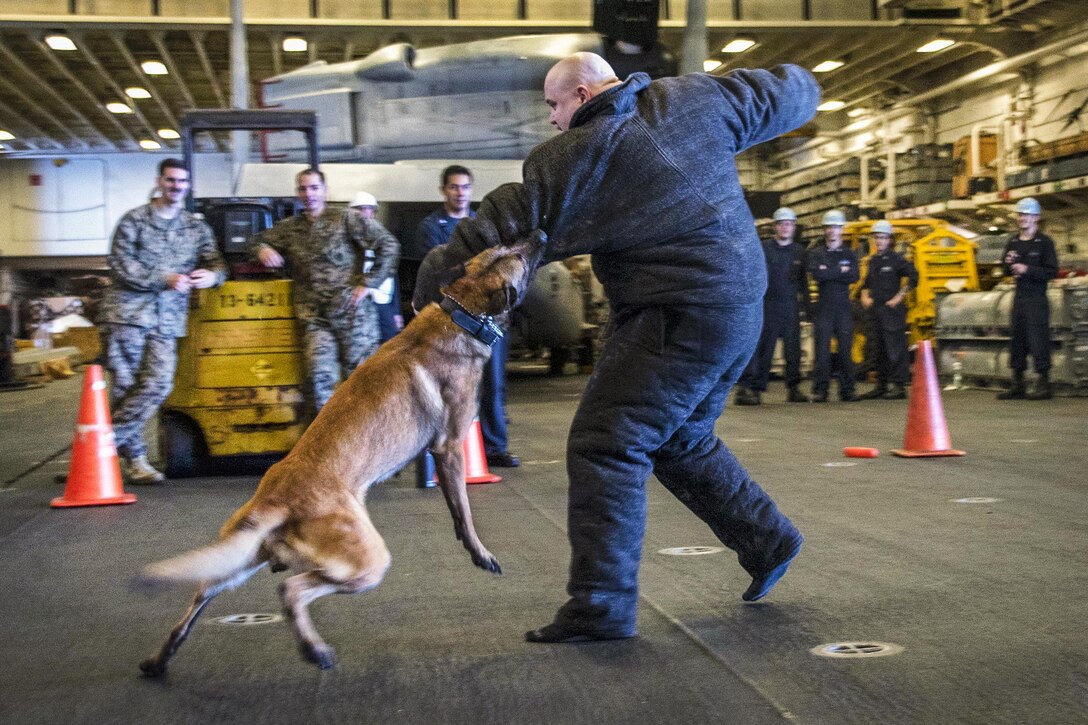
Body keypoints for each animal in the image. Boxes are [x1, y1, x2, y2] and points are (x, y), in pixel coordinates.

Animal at [138, 232, 544, 670]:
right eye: (520, 257)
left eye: (510, 246)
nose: (539, 234)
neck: (462, 311)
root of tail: (275, 502)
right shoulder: (450, 447)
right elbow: (464, 512)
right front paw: (480, 553)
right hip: (368, 561)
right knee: (291, 591)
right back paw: (314, 649)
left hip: (236, 561)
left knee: (201, 596)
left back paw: (160, 659)